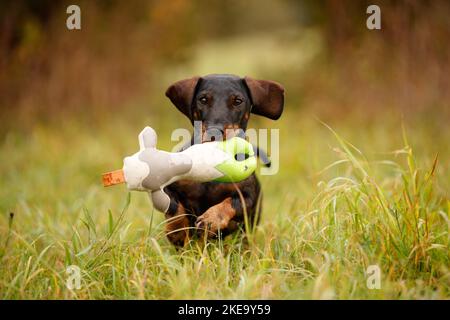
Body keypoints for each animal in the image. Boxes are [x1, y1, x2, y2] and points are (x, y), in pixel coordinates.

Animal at [162, 74, 284, 246]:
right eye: (203, 99)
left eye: (238, 101)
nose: (214, 133)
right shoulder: (169, 186)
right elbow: (173, 206)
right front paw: (177, 231)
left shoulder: (247, 198)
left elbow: (230, 203)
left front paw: (211, 220)